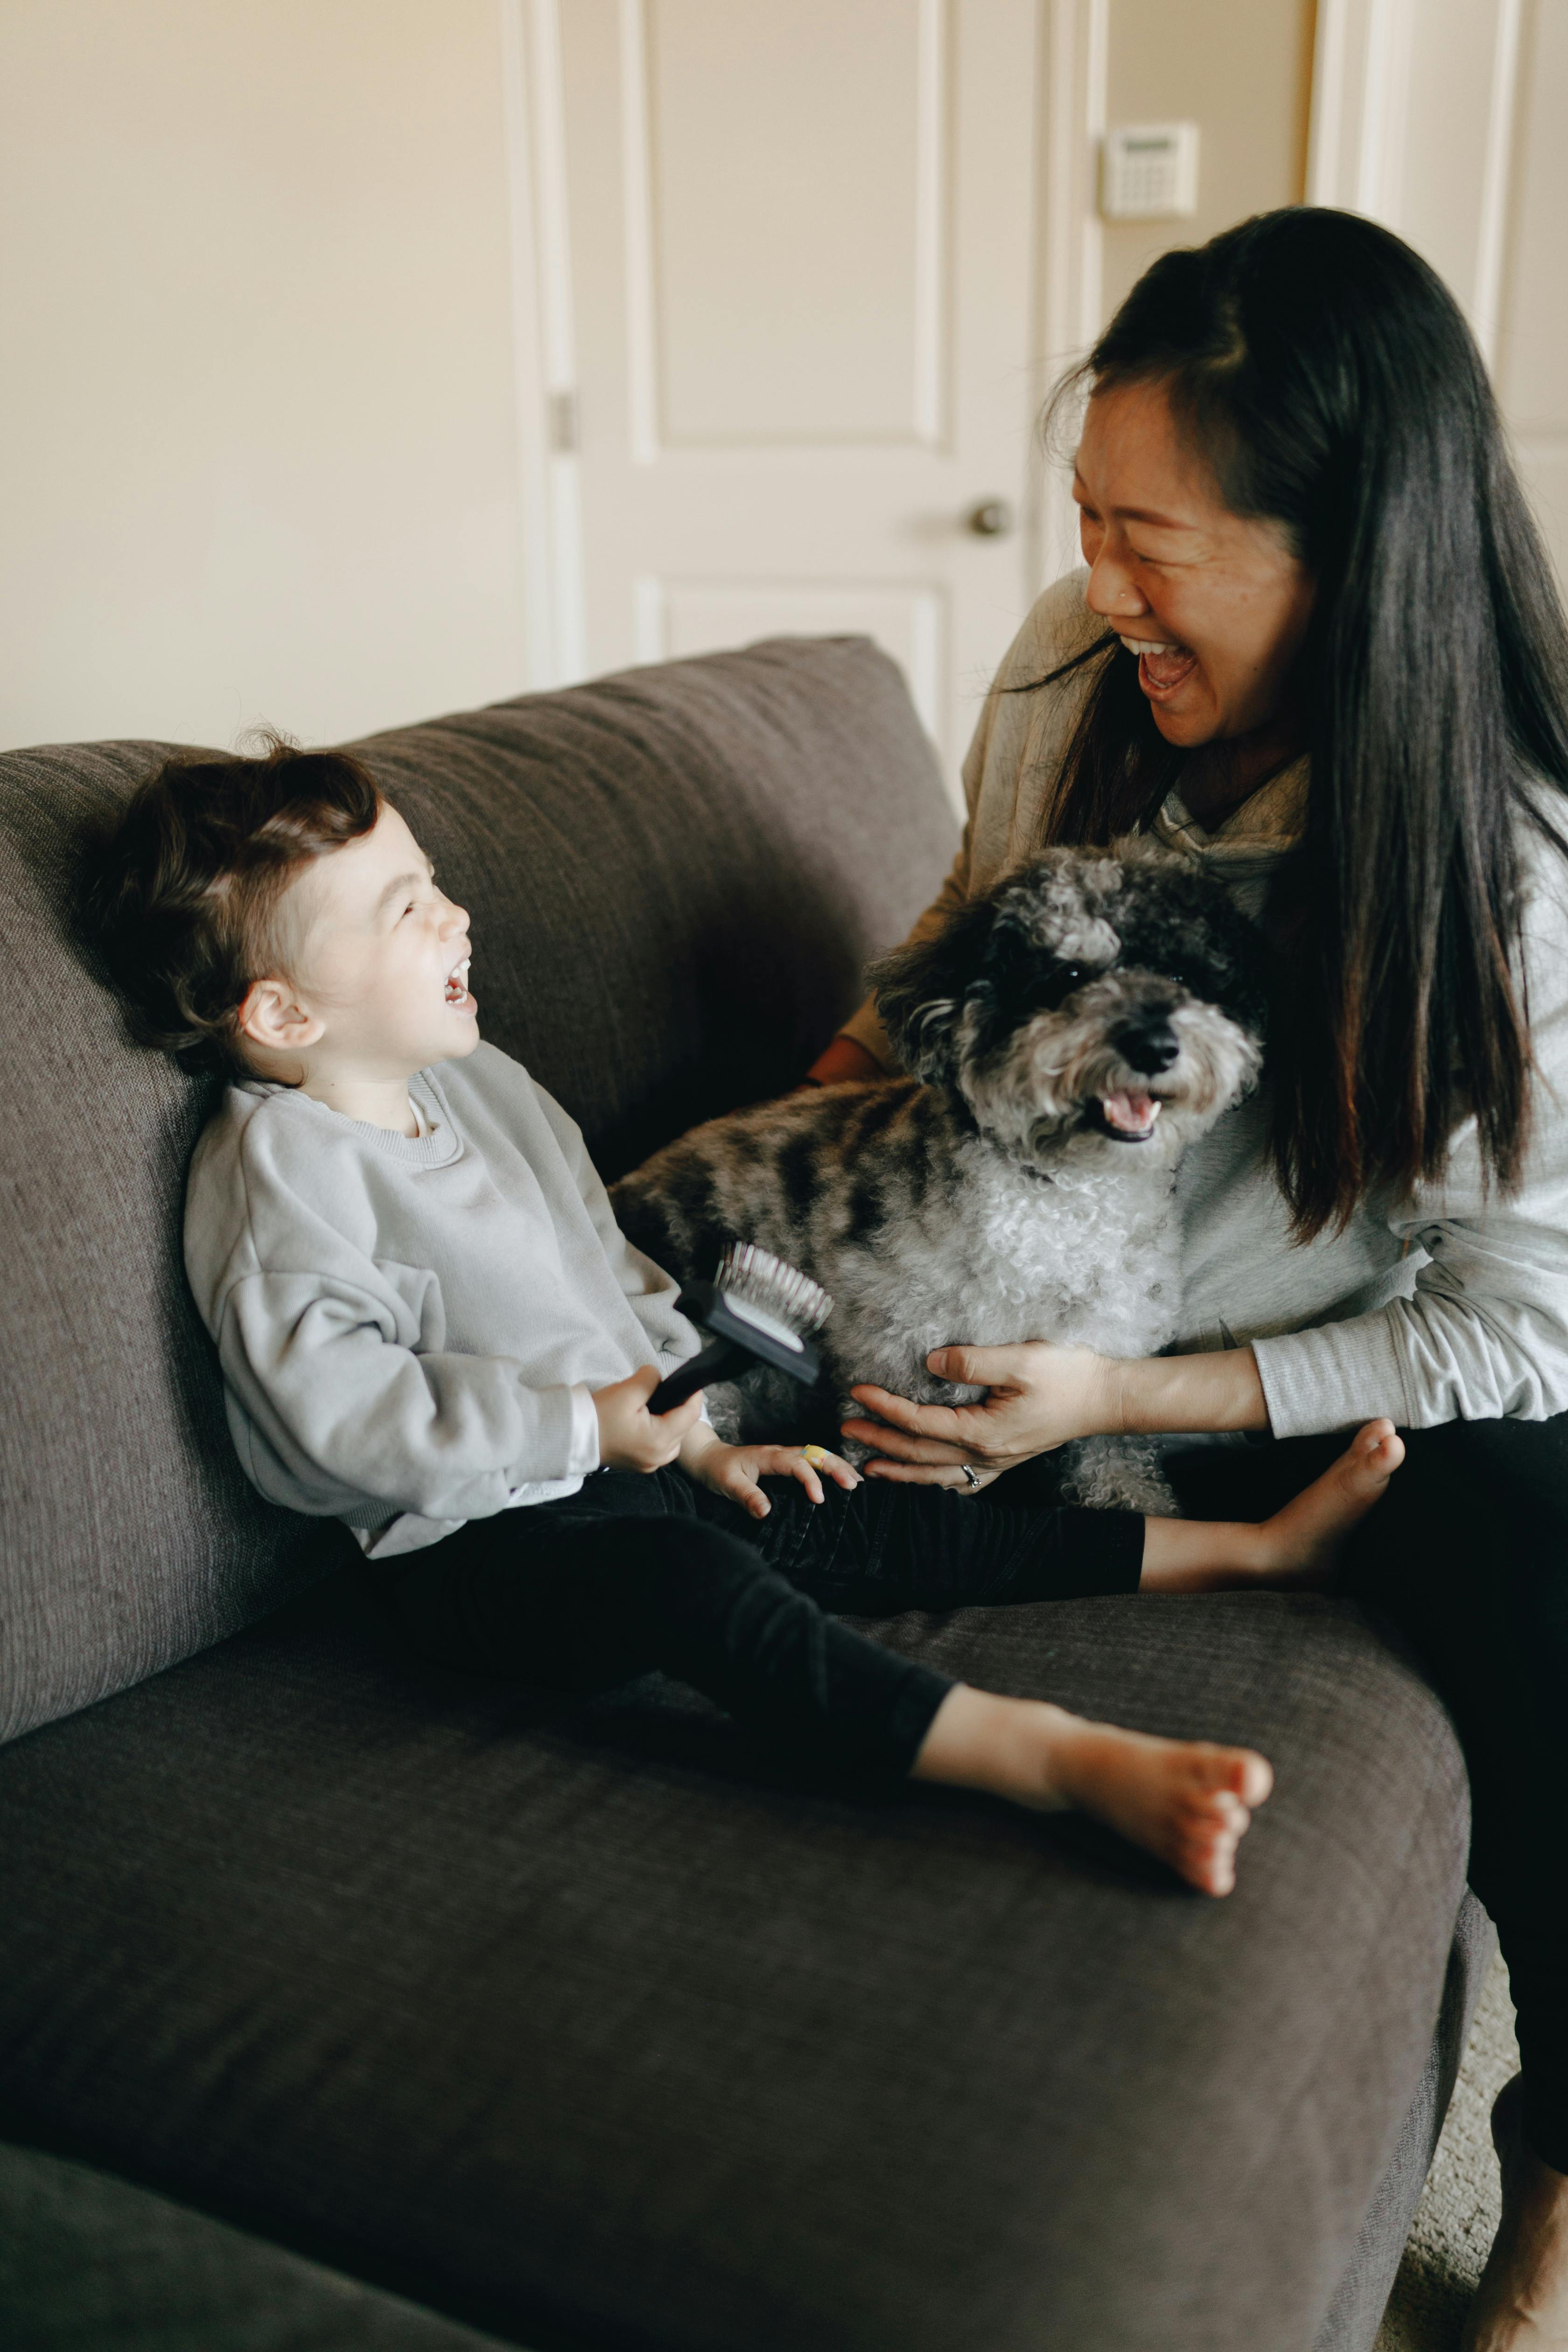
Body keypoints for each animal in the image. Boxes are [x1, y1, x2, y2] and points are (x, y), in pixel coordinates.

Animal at [611, 847, 1279, 1505]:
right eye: (1069, 977)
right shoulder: (899, 1382)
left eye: (1183, 978)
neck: (1060, 1203)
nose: (1155, 1044)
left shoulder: (1101, 1369)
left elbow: (1121, 1471)